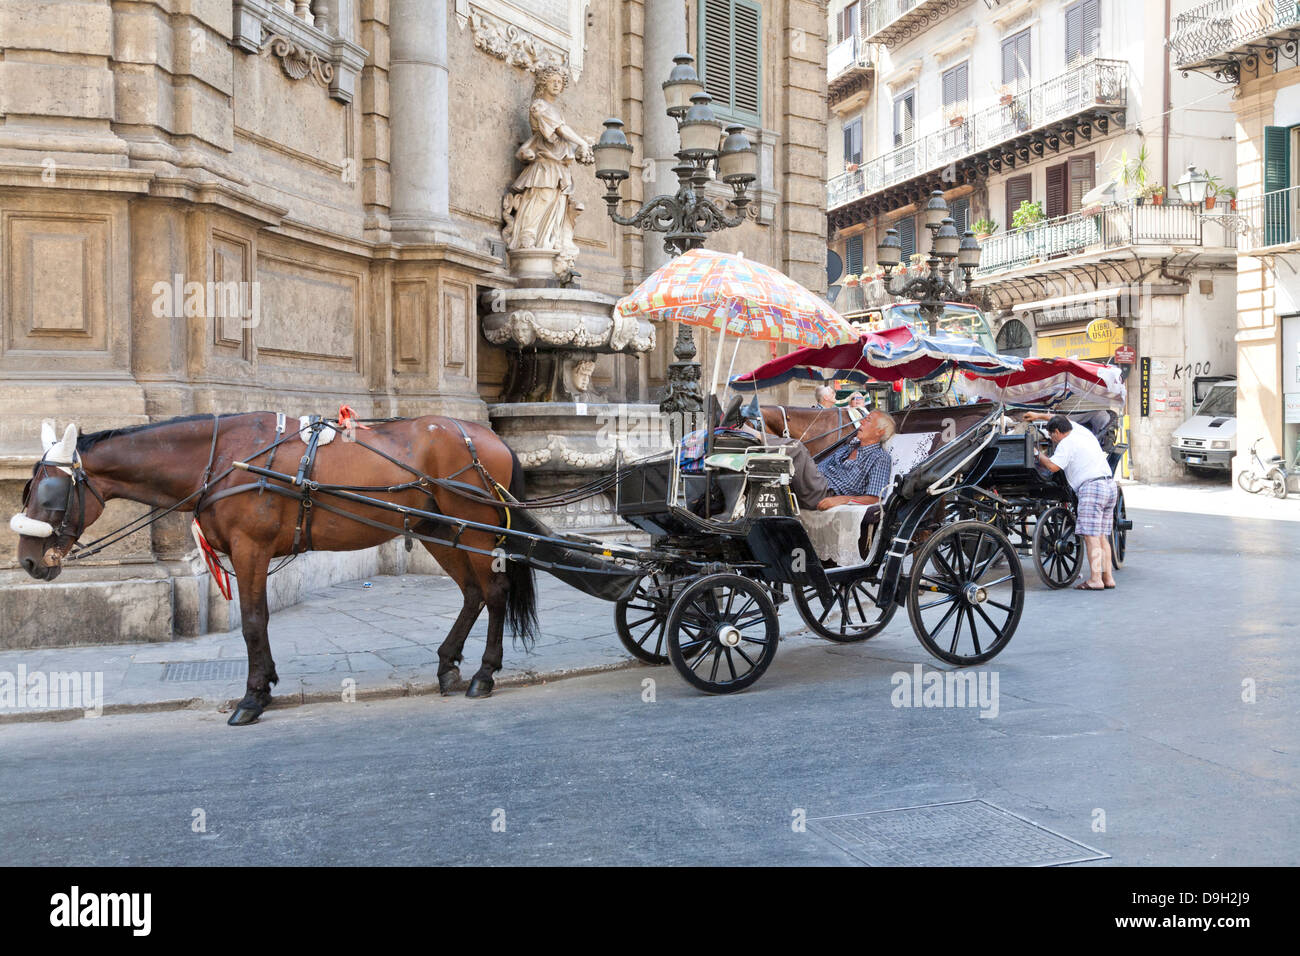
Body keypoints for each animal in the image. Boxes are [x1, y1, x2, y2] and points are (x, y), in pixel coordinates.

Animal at [11, 413, 538, 723]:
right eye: (26, 491)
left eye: (51, 494)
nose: (28, 561)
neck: (224, 459)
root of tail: (488, 436)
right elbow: (255, 622)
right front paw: (262, 687)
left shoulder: (251, 550)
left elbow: (252, 622)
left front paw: (252, 696)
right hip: (440, 529)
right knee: (472, 594)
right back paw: (448, 665)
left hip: (473, 529)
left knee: (493, 594)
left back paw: (484, 673)